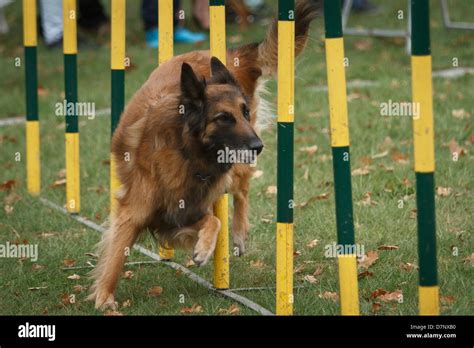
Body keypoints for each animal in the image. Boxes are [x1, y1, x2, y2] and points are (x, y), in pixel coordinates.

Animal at [89, 0, 318, 310]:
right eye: (223, 118)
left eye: (244, 113)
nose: (258, 146)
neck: (187, 154)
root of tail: (227, 54)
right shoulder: (144, 210)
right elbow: (116, 253)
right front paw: (104, 296)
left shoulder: (189, 205)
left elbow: (215, 220)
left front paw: (204, 249)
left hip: (235, 168)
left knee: (242, 190)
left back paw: (239, 234)